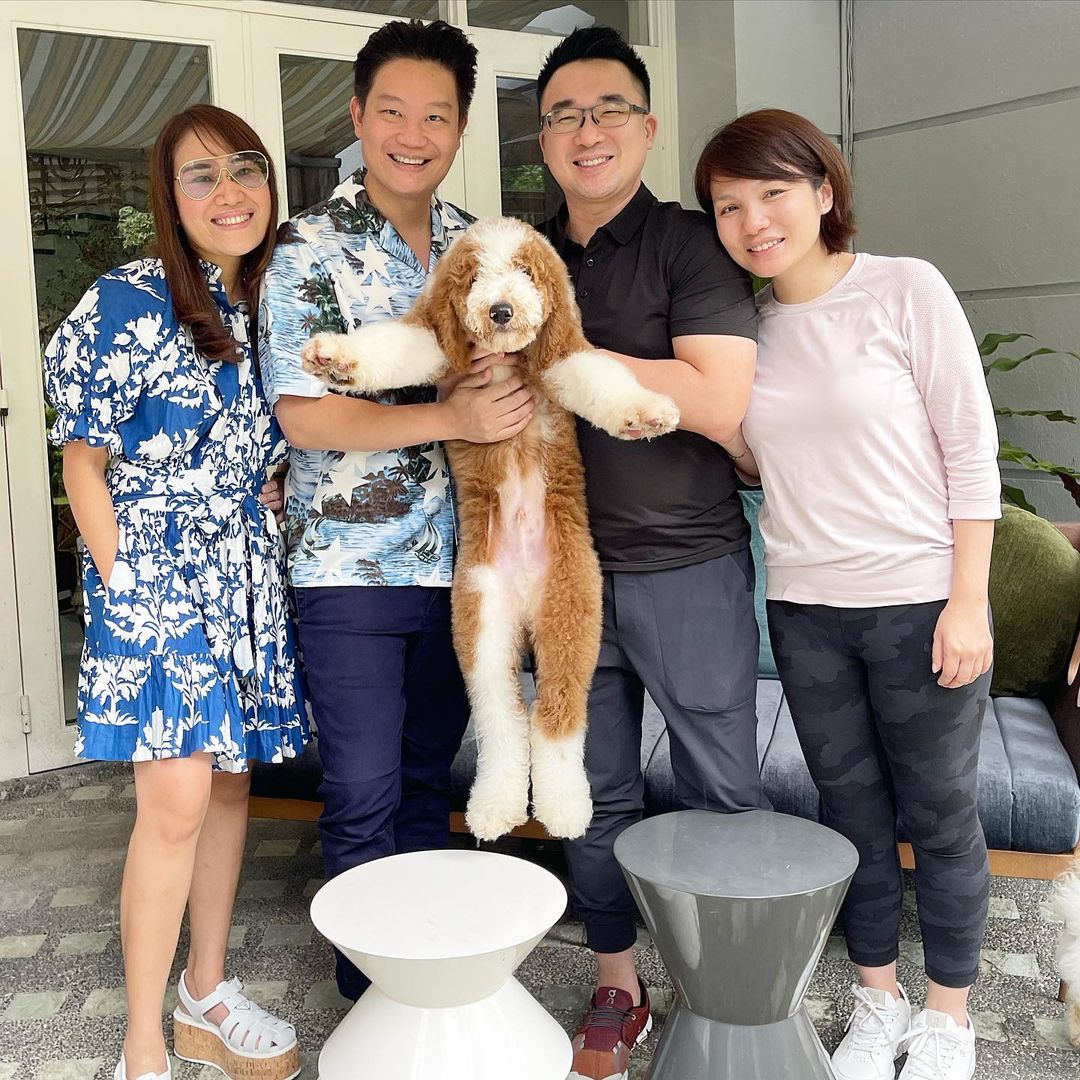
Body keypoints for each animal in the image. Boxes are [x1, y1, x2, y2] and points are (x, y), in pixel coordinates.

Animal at [300, 217, 679, 841]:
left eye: (524, 271)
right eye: (475, 277)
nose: (500, 310)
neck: (504, 358)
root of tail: (526, 602)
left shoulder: (559, 361)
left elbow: (599, 378)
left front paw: (648, 413)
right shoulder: (436, 344)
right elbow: (394, 346)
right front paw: (335, 358)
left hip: (571, 614)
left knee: (557, 716)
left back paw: (562, 805)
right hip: (479, 620)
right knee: (504, 719)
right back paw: (497, 805)